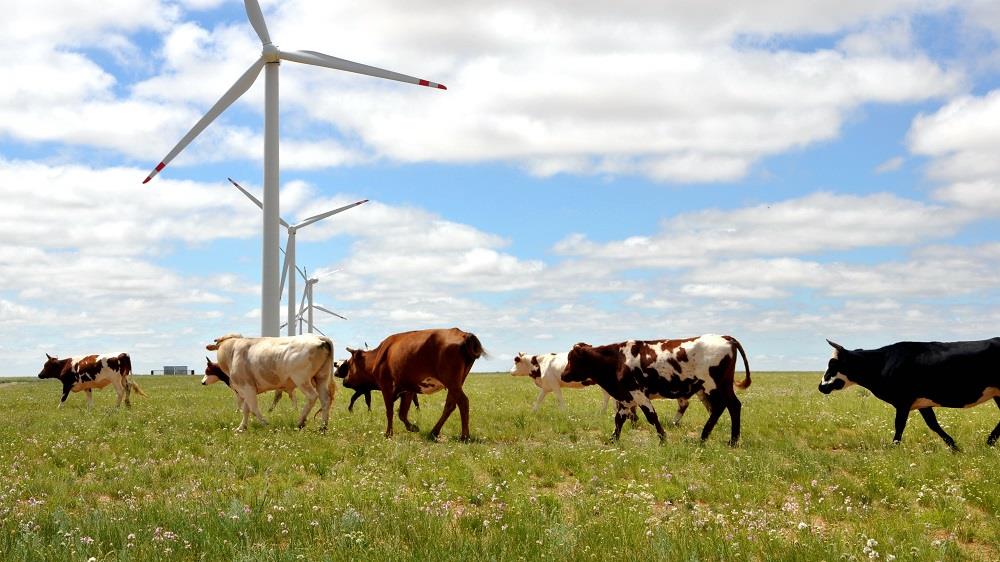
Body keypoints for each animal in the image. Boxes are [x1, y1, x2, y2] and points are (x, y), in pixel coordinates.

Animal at [204, 332, 336, 428]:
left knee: (312, 396)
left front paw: (265, 423)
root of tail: (319, 337)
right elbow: (246, 409)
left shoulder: (246, 387)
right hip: (321, 378)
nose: (203, 382)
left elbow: (253, 408)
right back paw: (323, 427)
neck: (232, 351)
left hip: (301, 379)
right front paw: (241, 427)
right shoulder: (246, 388)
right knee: (325, 399)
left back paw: (300, 422)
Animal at [340, 326, 484, 440]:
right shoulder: (408, 389)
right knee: (450, 405)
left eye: (350, 364)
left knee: (463, 402)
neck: (378, 356)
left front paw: (388, 434)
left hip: (451, 381)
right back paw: (434, 432)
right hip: (457, 382)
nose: (345, 381)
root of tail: (463, 334)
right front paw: (413, 427)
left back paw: (464, 436)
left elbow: (390, 411)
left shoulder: (386, 385)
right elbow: (402, 413)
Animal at [564, 332, 752, 446]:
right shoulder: (625, 397)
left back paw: (729, 440)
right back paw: (709, 437)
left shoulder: (638, 393)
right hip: (714, 387)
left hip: (715, 386)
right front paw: (613, 440)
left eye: (572, 359)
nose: (564, 375)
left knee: (729, 406)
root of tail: (724, 337)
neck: (618, 360)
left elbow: (651, 416)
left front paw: (663, 439)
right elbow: (619, 419)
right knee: (723, 407)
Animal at [820, 334, 1000, 448]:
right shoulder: (922, 403)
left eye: (833, 364)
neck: (882, 363)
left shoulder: (903, 401)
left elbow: (899, 424)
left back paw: (988, 442)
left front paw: (894, 447)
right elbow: (933, 424)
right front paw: (954, 446)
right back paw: (989, 442)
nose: (821, 386)